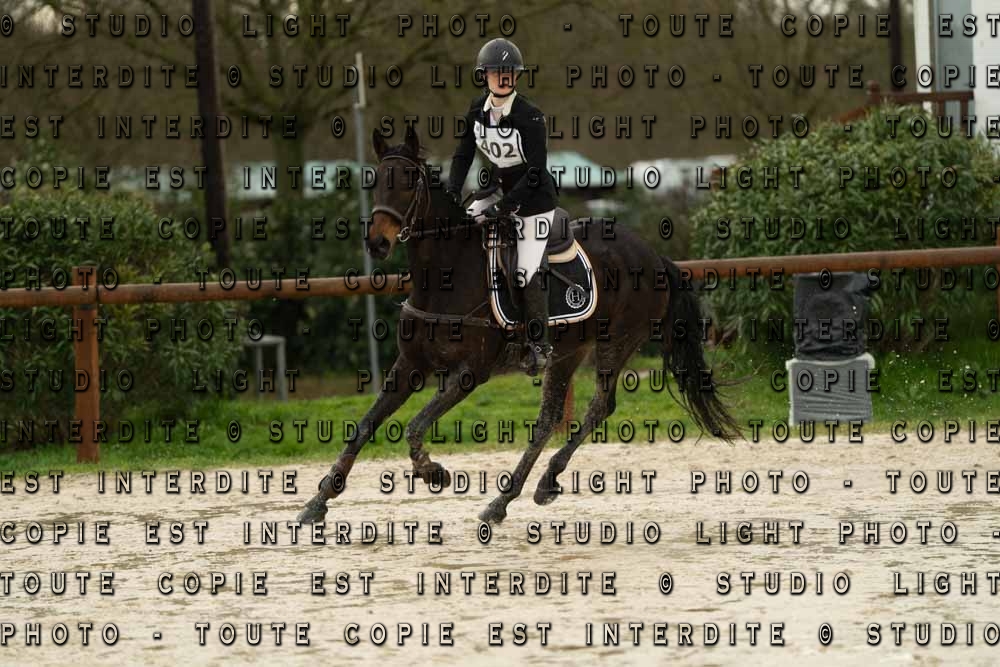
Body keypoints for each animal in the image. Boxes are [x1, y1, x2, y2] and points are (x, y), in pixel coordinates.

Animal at [296, 128, 741, 526]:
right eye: (374, 181)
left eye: (409, 183)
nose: (378, 243)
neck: (444, 276)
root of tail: (653, 254)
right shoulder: (409, 366)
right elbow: (363, 427)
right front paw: (317, 503)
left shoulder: (470, 373)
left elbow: (415, 426)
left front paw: (433, 471)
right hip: (568, 350)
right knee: (549, 419)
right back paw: (515, 496)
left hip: (616, 341)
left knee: (600, 406)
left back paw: (521, 491)